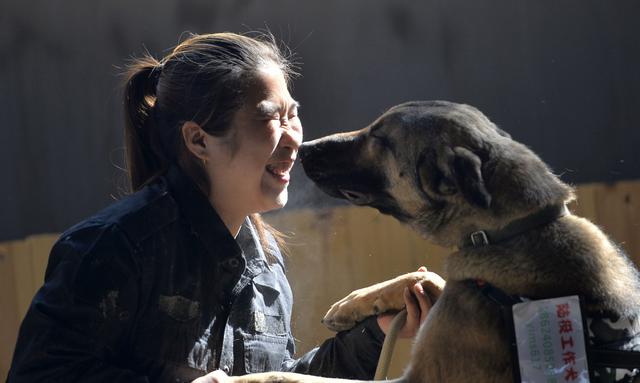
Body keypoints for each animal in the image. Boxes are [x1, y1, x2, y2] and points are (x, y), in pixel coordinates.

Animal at [230, 102, 640, 383]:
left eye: (380, 139)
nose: (305, 147)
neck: (511, 232)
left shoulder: (420, 376)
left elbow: (295, 376)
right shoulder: (455, 288)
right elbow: (424, 276)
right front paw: (353, 304)